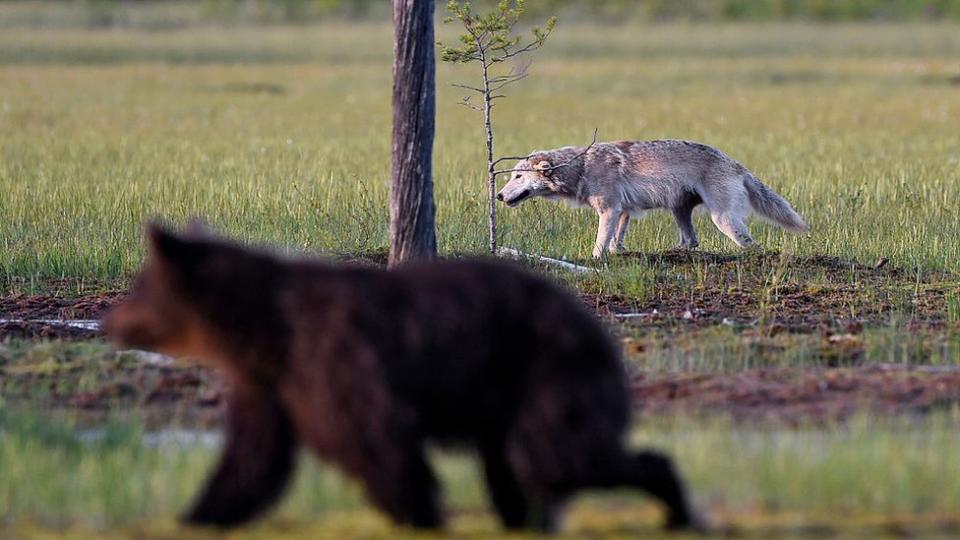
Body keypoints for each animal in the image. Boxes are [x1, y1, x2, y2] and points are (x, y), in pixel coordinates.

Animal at [105, 223, 696, 532]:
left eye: (138, 287)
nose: (110, 321)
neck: (264, 333)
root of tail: (595, 322)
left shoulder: (337, 360)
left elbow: (376, 441)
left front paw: (420, 515)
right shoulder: (272, 388)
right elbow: (250, 463)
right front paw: (196, 517)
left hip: (546, 372)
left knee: (557, 455)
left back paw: (673, 506)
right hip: (506, 398)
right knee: (519, 469)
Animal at [498, 139, 808, 258]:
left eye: (518, 177)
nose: (499, 196)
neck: (581, 166)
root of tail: (737, 165)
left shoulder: (609, 210)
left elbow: (600, 243)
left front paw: (595, 259)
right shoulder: (623, 211)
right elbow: (616, 241)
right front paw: (617, 253)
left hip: (723, 220)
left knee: (752, 245)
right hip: (679, 212)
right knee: (691, 241)